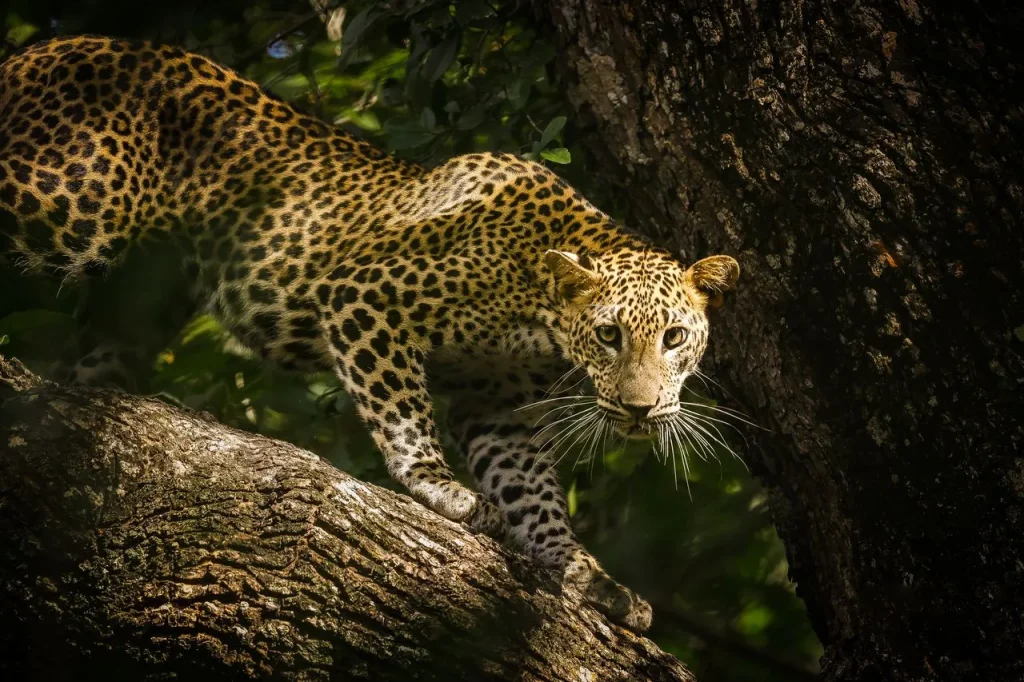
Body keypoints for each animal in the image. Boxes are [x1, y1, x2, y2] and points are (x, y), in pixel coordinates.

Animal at [0, 35, 740, 632]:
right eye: (610, 336)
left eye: (675, 338)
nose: (642, 409)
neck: (539, 308)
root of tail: (43, 50)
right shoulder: (365, 298)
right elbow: (404, 415)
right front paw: (440, 487)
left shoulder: (495, 401)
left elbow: (532, 491)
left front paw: (585, 572)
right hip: (61, 199)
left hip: (137, 302)